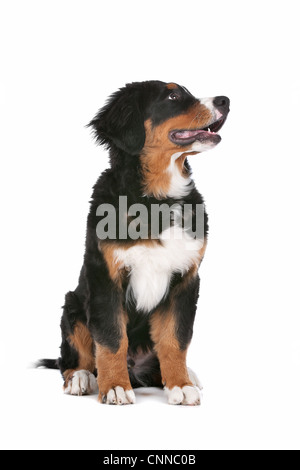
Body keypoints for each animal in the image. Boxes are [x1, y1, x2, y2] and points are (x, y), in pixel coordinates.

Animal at [38, 80, 230, 404]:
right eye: (173, 95)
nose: (225, 101)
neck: (158, 199)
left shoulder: (186, 279)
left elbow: (175, 339)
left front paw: (180, 384)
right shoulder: (105, 277)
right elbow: (111, 338)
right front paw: (115, 386)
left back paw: (185, 375)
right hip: (73, 305)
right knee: (72, 360)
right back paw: (81, 378)